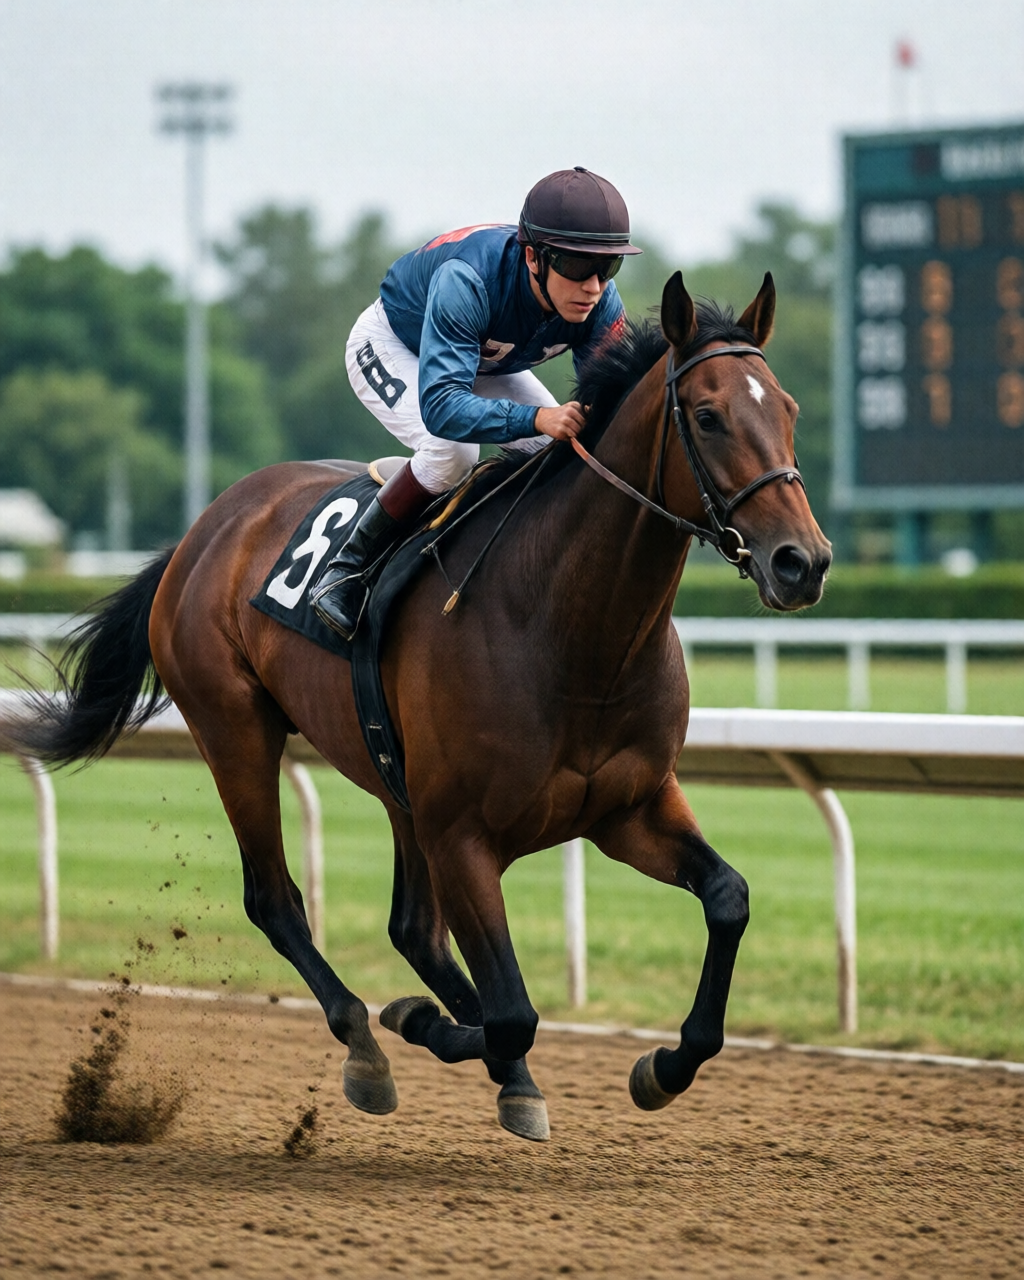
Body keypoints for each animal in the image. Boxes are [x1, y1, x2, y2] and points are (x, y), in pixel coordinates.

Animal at [5, 272, 831, 1142]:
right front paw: (422, 1024)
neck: (572, 630)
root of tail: (204, 529)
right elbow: (512, 1012)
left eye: (789, 410)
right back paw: (369, 1045)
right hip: (235, 728)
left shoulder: (626, 808)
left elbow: (727, 900)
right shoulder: (461, 832)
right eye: (707, 416)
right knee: (277, 899)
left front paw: (661, 1067)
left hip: (393, 778)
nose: (802, 562)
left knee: (414, 930)